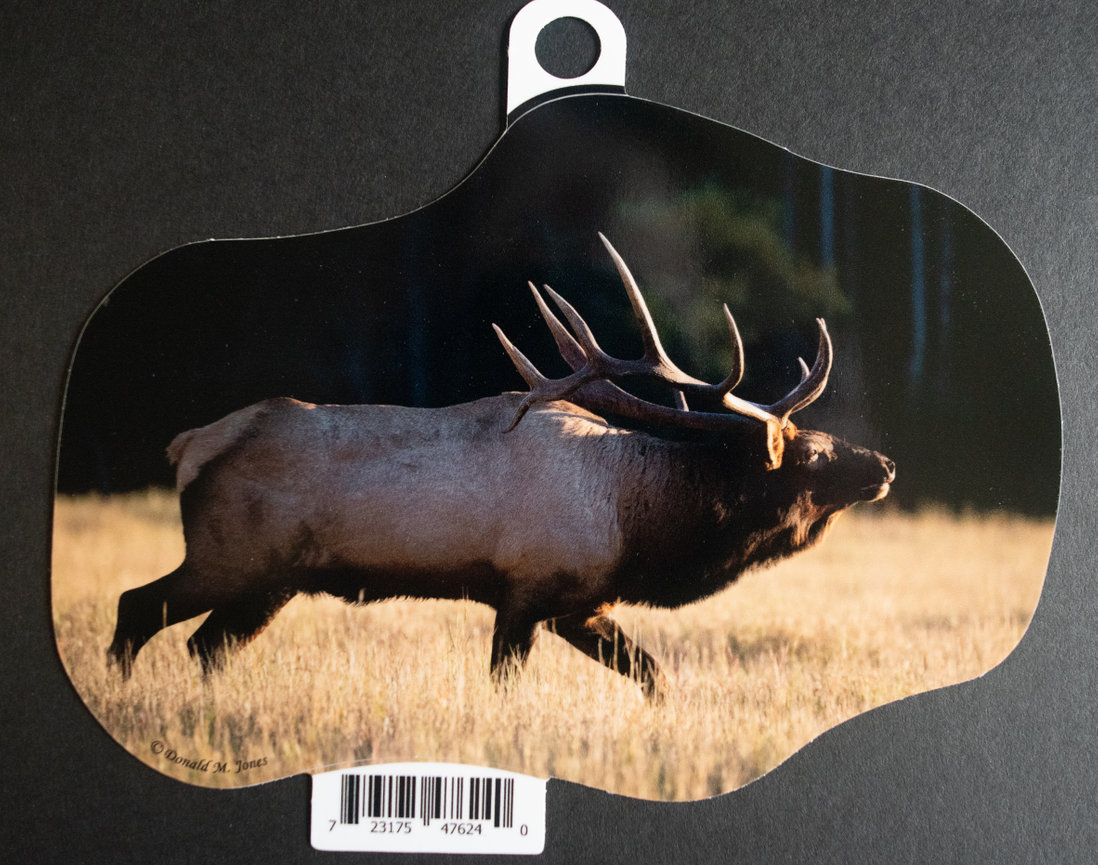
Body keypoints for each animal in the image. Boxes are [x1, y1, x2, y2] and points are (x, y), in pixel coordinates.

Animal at [107, 234, 895, 696]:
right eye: (813, 450)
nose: (885, 463)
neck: (638, 523)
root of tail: (190, 445)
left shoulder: (585, 604)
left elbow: (655, 676)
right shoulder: (525, 589)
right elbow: (504, 683)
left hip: (271, 579)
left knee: (205, 645)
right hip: (232, 555)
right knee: (137, 607)